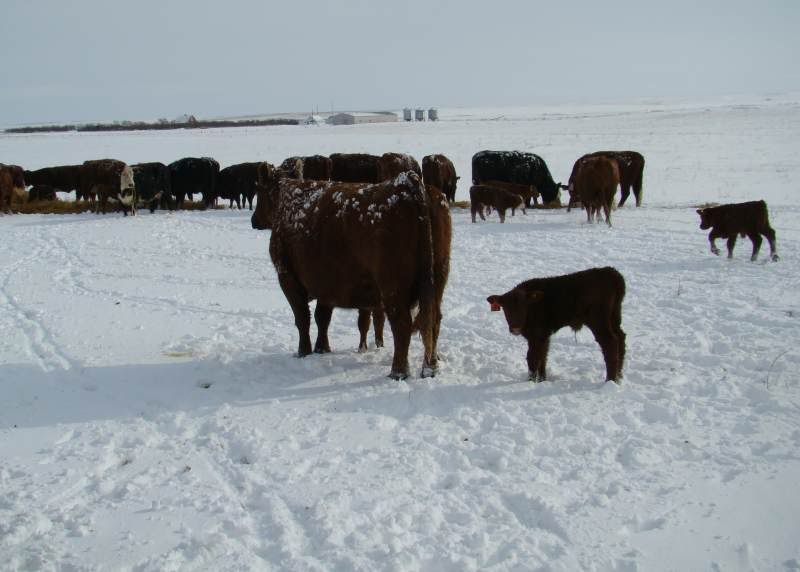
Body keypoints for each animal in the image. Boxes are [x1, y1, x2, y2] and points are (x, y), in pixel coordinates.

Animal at [252, 170, 451, 380]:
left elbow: (303, 318)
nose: (253, 220)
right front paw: (322, 349)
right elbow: (322, 317)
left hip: (393, 286)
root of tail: (407, 181)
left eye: (259, 193)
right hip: (437, 280)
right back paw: (430, 368)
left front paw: (303, 352)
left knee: (402, 324)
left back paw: (398, 372)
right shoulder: (326, 284)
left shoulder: (288, 277)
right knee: (433, 320)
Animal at [487, 266, 626, 383]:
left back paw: (610, 380)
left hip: (599, 322)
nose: (515, 328)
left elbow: (533, 358)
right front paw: (542, 380)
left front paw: (531, 381)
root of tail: (611, 273)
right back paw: (619, 376)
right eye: (506, 308)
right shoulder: (544, 336)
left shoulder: (536, 336)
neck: (534, 305)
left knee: (610, 343)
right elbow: (543, 357)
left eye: (524, 306)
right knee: (621, 338)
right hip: (615, 318)